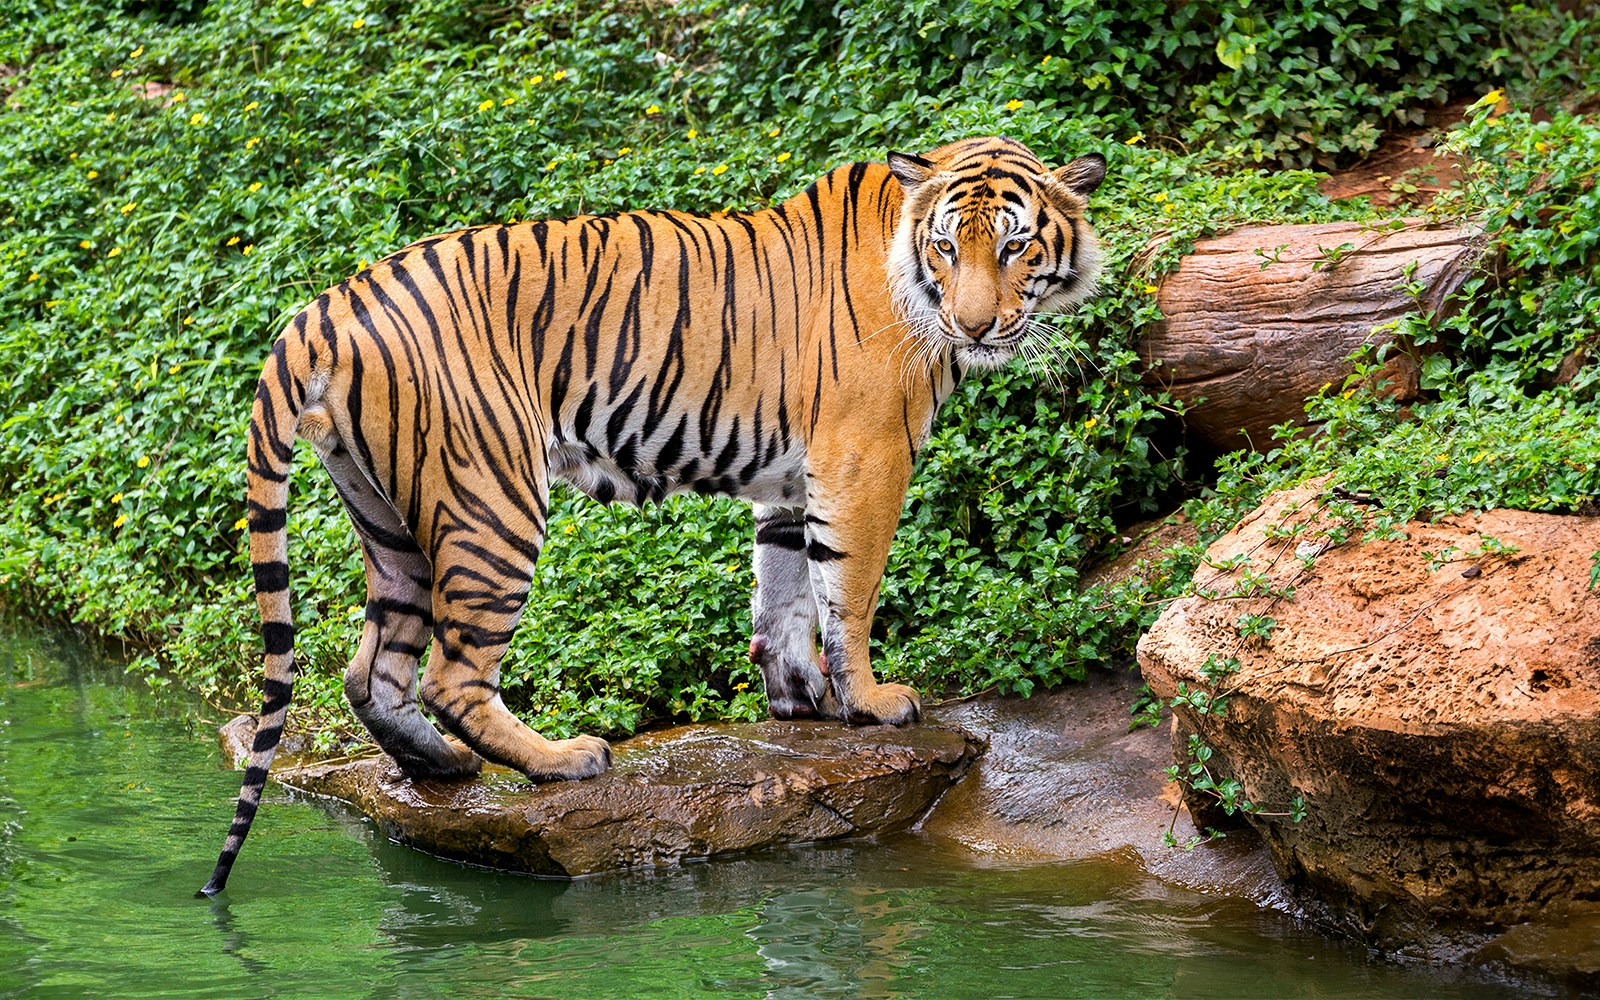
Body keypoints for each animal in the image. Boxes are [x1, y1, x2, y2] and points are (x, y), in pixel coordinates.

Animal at [199, 135, 1106, 895]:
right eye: (948, 247)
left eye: (1015, 245)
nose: (974, 324)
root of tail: (323, 305)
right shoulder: (864, 459)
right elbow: (848, 591)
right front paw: (872, 702)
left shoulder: (791, 481)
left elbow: (783, 592)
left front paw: (798, 701)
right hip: (493, 498)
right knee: (451, 674)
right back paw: (563, 760)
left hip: (385, 512)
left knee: (372, 670)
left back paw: (442, 768)